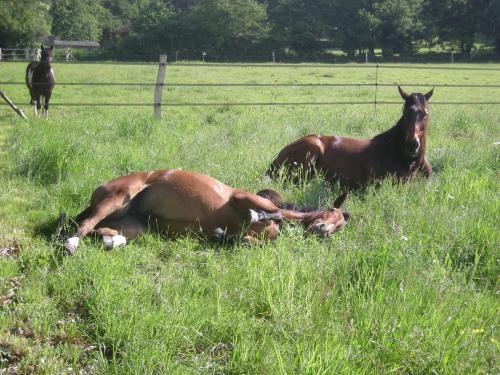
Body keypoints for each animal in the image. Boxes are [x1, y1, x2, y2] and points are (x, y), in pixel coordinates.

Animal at [62, 170, 350, 253]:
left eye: (340, 226)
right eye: (330, 212)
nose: (323, 232)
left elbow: (244, 240)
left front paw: (223, 235)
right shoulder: (242, 198)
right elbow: (275, 212)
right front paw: (254, 216)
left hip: (136, 227)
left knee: (99, 230)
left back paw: (112, 241)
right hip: (118, 197)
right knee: (84, 225)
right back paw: (71, 245)